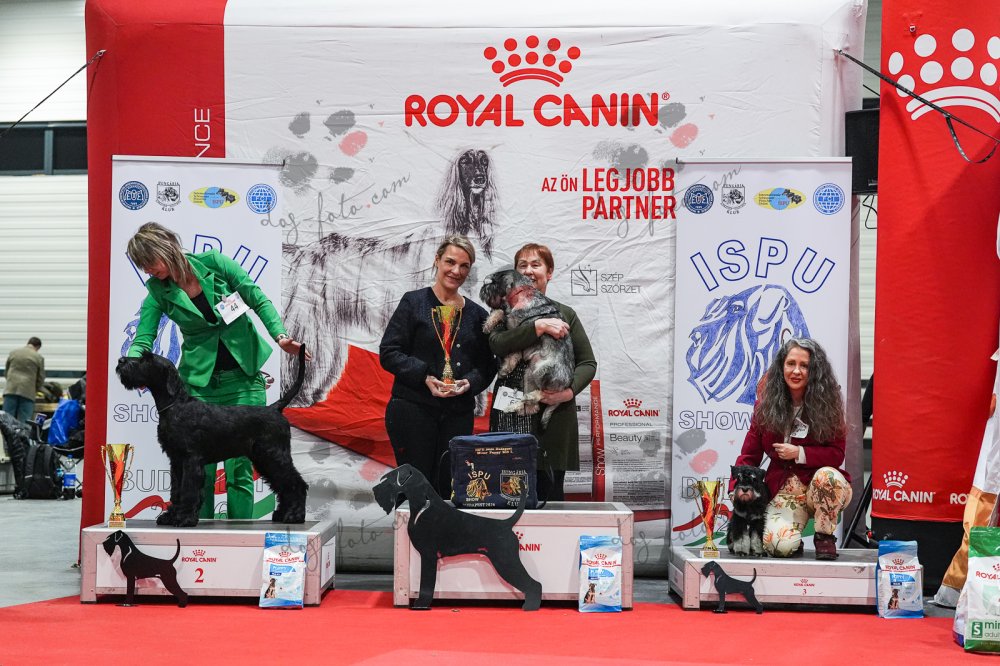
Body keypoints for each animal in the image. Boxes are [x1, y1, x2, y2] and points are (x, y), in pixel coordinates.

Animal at [373, 464, 541, 610]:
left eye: (389, 479)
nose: (374, 490)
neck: (421, 507)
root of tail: (506, 524)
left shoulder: (428, 555)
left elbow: (426, 583)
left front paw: (421, 604)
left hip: (506, 561)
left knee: (535, 584)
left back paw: (529, 607)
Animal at [480, 269, 574, 427]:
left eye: (491, 282)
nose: (482, 291)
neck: (522, 292)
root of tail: (566, 386)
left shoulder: (514, 325)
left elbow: (502, 313)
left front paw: (488, 324)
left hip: (541, 371)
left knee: (541, 395)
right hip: (528, 375)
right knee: (533, 406)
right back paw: (515, 407)